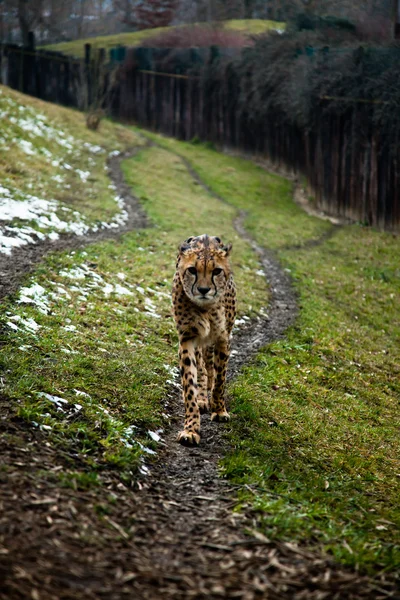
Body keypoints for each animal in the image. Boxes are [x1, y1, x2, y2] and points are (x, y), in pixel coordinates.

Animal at [171, 234, 234, 446]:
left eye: (216, 271)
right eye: (192, 270)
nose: (204, 289)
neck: (205, 308)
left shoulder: (223, 338)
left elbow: (220, 378)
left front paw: (219, 410)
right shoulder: (188, 338)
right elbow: (190, 384)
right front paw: (191, 429)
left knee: (210, 367)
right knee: (201, 366)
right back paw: (202, 400)